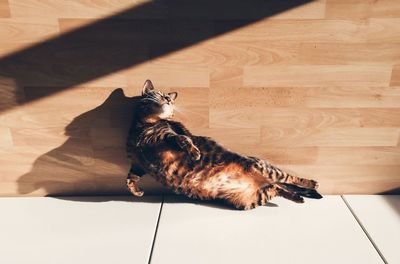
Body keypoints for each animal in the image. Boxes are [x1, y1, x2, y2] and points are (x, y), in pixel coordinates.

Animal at [126, 79, 322, 209]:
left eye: (170, 98)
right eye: (160, 95)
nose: (168, 100)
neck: (142, 127)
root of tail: (261, 178)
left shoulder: (168, 136)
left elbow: (184, 139)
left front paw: (195, 153)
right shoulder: (137, 164)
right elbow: (130, 179)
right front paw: (137, 192)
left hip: (265, 169)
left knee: (289, 178)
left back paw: (312, 184)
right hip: (253, 199)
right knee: (278, 188)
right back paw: (298, 198)